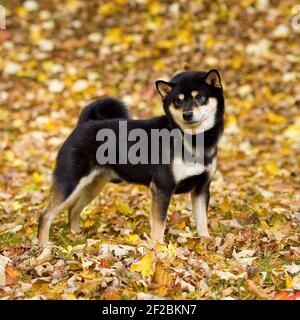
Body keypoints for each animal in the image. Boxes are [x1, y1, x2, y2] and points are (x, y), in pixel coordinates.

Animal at [38, 69, 224, 245]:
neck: (193, 139)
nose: (187, 114)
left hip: (93, 185)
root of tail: (84, 124)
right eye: (177, 101)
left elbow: (202, 220)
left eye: (200, 97)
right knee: (45, 215)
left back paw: (76, 236)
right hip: (70, 182)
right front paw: (158, 248)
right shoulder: (162, 188)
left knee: (73, 209)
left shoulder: (201, 188)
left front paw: (205, 241)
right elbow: (159, 224)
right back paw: (43, 246)